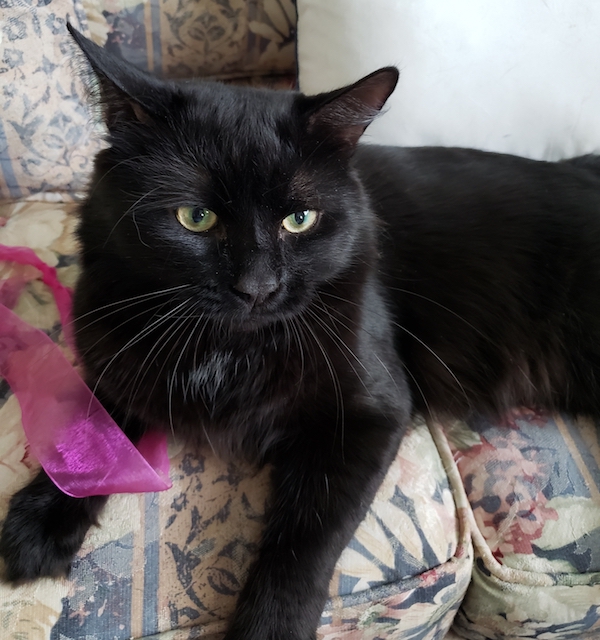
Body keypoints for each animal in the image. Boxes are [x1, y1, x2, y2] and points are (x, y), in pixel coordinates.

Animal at [1, 25, 600, 640]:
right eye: (195, 217)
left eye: (300, 220)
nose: (257, 287)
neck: (230, 346)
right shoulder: (116, 358)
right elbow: (91, 429)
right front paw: (42, 520)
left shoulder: (369, 413)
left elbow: (305, 538)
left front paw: (269, 625)